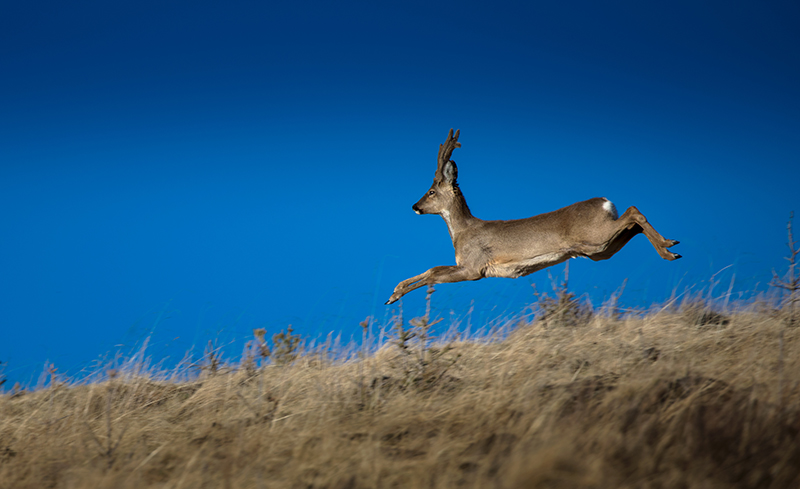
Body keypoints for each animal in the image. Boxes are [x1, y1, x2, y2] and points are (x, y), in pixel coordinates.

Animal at [386, 130, 680, 304]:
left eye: (431, 191)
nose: (414, 206)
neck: (461, 232)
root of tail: (606, 203)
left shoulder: (473, 268)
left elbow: (433, 274)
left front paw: (395, 296)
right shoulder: (470, 267)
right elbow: (432, 269)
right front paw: (394, 292)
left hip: (595, 237)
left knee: (633, 211)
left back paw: (669, 249)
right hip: (599, 249)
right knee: (633, 224)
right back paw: (671, 247)